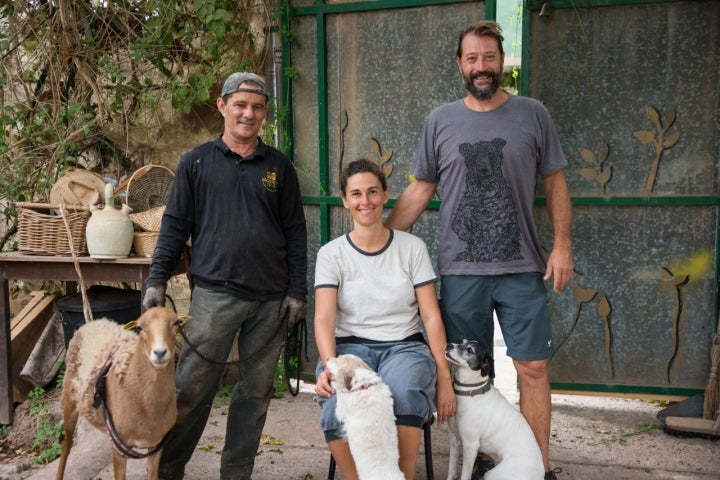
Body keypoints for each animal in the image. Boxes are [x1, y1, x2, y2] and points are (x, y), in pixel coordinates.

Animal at [56, 308, 180, 480]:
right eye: (140, 327)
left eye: (176, 323)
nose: (160, 352)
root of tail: (92, 322)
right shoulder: (119, 447)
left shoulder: (156, 445)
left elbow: (152, 475)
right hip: (68, 401)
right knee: (67, 445)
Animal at [326, 352, 404, 480]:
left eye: (337, 361)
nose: (327, 358)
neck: (363, 385)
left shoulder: (340, 408)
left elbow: (339, 390)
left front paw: (335, 383)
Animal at [442, 340, 544, 478]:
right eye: (463, 341)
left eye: (470, 350)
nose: (448, 345)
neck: (471, 392)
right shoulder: (454, 439)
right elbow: (451, 471)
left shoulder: (470, 445)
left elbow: (465, 476)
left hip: (492, 474)